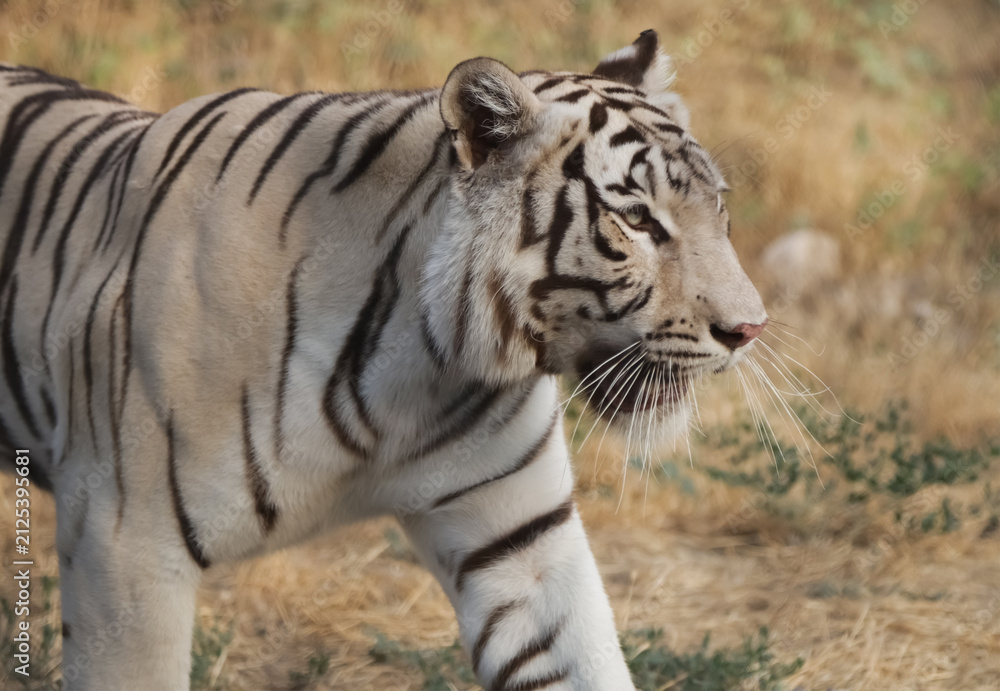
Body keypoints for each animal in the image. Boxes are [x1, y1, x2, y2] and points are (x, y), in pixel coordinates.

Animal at [0, 29, 767, 690]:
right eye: (637, 220)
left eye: (718, 206)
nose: (750, 328)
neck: (421, 372)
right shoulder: (126, 548)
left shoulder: (523, 544)